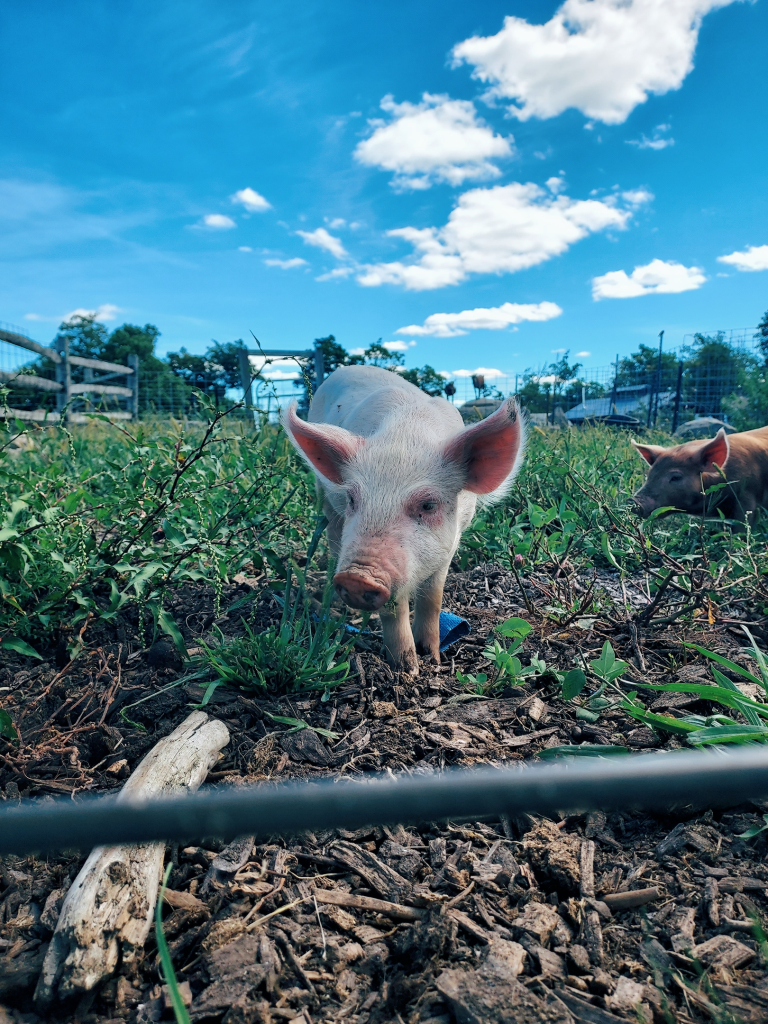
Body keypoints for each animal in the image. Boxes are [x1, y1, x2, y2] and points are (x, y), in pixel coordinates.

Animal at [282, 365, 525, 675]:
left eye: (428, 504)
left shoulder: (450, 543)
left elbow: (432, 598)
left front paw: (432, 657)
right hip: (326, 502)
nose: (356, 576)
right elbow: (394, 608)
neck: (407, 435)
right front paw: (407, 670)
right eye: (352, 499)